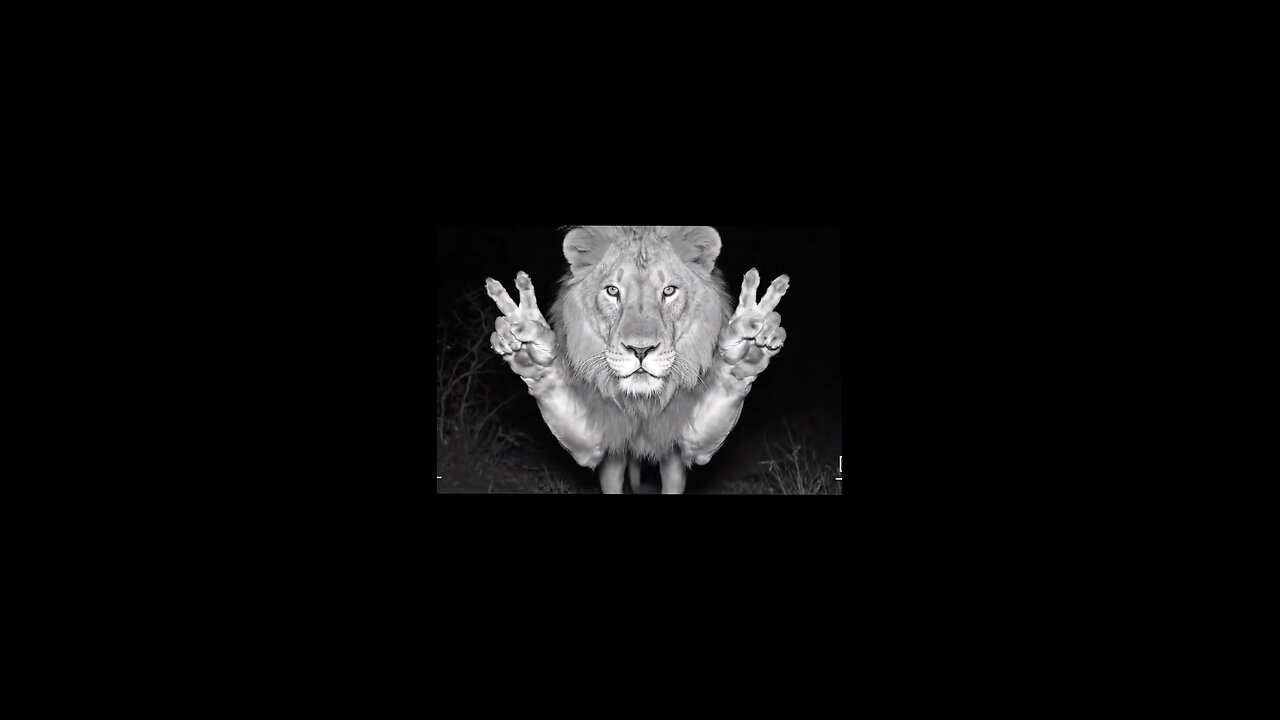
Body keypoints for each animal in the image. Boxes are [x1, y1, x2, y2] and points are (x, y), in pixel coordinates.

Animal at [485, 226, 789, 494]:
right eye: (612, 291)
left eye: (669, 291)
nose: (640, 350)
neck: (642, 404)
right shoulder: (595, 443)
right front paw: (529, 348)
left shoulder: (690, 443)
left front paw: (748, 345)